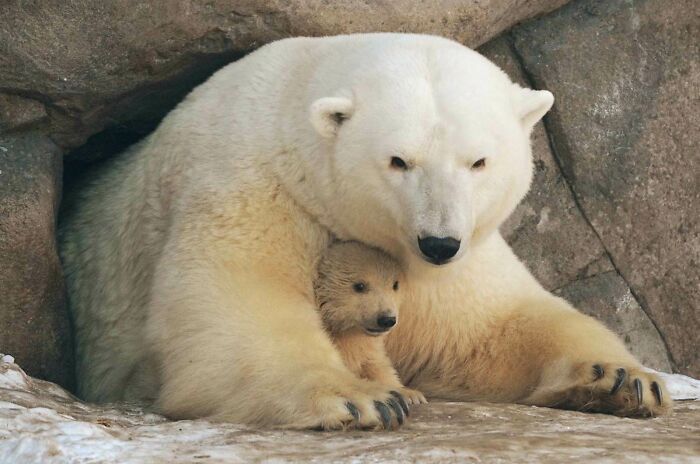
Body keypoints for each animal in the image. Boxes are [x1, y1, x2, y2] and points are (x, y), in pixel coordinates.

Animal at [313, 240, 427, 415]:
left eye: (395, 284)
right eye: (359, 286)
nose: (387, 319)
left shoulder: (367, 346)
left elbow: (377, 365)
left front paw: (411, 394)